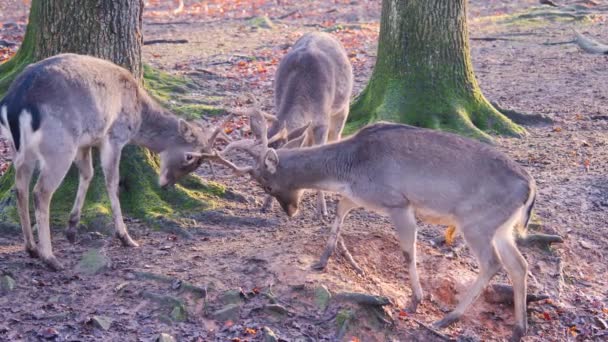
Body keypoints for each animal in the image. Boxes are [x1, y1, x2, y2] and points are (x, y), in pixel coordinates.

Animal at [0, 53, 228, 272]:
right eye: (189, 157)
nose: (165, 184)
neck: (139, 114)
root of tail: (16, 102)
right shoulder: (115, 136)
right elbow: (112, 181)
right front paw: (125, 237)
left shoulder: (85, 142)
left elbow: (88, 173)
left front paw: (72, 229)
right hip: (59, 145)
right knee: (41, 191)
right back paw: (50, 258)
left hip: (19, 149)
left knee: (20, 187)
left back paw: (31, 248)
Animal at [216, 116, 540, 340]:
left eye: (267, 185)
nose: (290, 210)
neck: (349, 169)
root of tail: (530, 186)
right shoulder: (360, 195)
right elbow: (339, 211)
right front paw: (321, 260)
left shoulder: (398, 202)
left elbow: (408, 251)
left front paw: (415, 300)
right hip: (502, 227)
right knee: (519, 265)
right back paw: (518, 329)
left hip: (476, 221)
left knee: (492, 263)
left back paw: (448, 318)